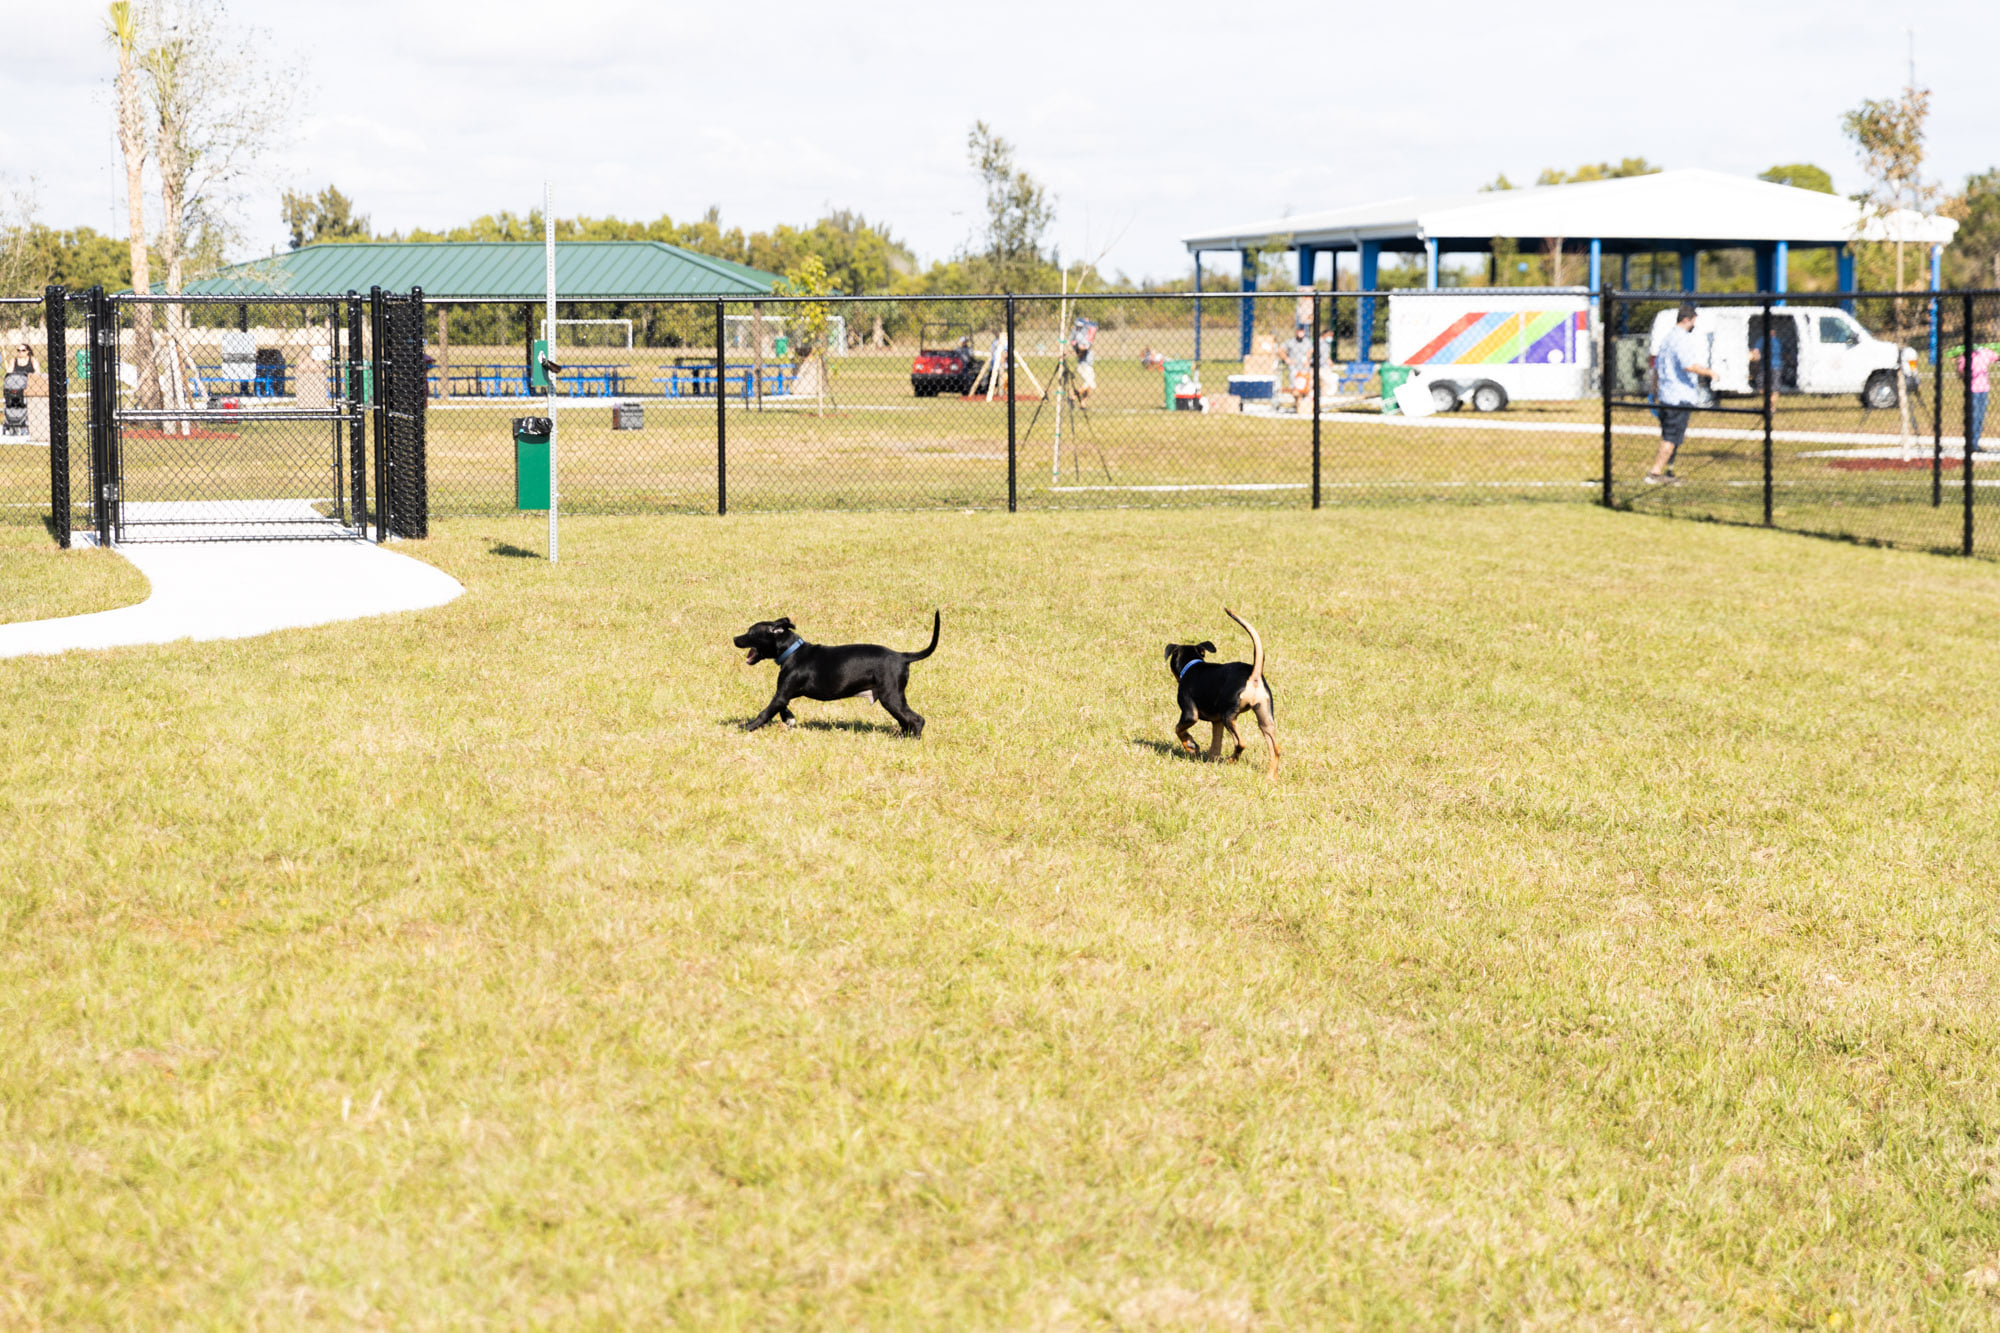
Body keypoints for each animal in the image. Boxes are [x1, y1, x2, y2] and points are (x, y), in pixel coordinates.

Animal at [732, 608, 940, 732]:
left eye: (750, 632)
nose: (734, 638)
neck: (792, 651)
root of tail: (902, 656)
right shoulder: (786, 693)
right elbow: (782, 708)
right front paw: (789, 719)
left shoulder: (782, 693)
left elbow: (766, 712)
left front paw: (747, 727)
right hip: (892, 698)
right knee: (906, 720)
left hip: (891, 696)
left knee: (917, 719)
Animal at [1168, 604, 1272, 772]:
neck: (1192, 665)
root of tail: (1253, 675)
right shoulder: (1217, 723)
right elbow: (1215, 746)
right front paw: (1210, 761)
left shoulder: (1190, 714)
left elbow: (1178, 729)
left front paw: (1190, 746)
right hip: (1265, 718)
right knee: (1276, 749)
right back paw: (1271, 776)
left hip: (1228, 715)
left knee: (1241, 743)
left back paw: (1231, 760)